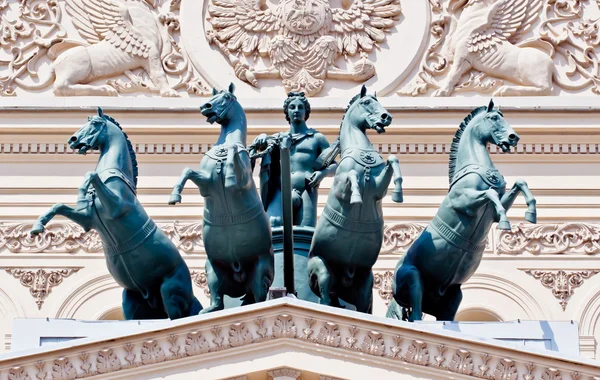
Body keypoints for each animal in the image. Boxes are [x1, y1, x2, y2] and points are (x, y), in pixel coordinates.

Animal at [31, 107, 202, 320]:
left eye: (95, 123)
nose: (72, 139)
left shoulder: (115, 207)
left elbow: (90, 174)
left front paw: (82, 194)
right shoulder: (88, 220)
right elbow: (58, 205)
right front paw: (37, 226)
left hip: (171, 294)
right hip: (131, 301)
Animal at [168, 82, 274, 312]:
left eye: (226, 97)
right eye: (211, 97)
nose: (205, 106)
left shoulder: (245, 181)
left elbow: (235, 153)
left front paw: (230, 175)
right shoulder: (206, 184)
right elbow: (187, 171)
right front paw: (174, 195)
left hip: (261, 269)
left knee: (259, 297)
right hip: (212, 269)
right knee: (217, 300)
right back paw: (208, 309)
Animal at [310, 86, 404, 314]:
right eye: (367, 102)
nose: (386, 117)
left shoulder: (378, 188)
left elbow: (393, 159)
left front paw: (398, 193)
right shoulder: (340, 187)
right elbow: (351, 176)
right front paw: (356, 197)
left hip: (364, 284)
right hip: (321, 270)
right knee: (324, 299)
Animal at [392, 100, 536, 320]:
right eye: (493, 118)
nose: (513, 138)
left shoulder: (493, 210)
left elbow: (520, 183)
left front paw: (531, 212)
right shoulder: (464, 202)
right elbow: (490, 194)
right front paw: (506, 222)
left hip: (453, 297)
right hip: (412, 278)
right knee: (416, 313)